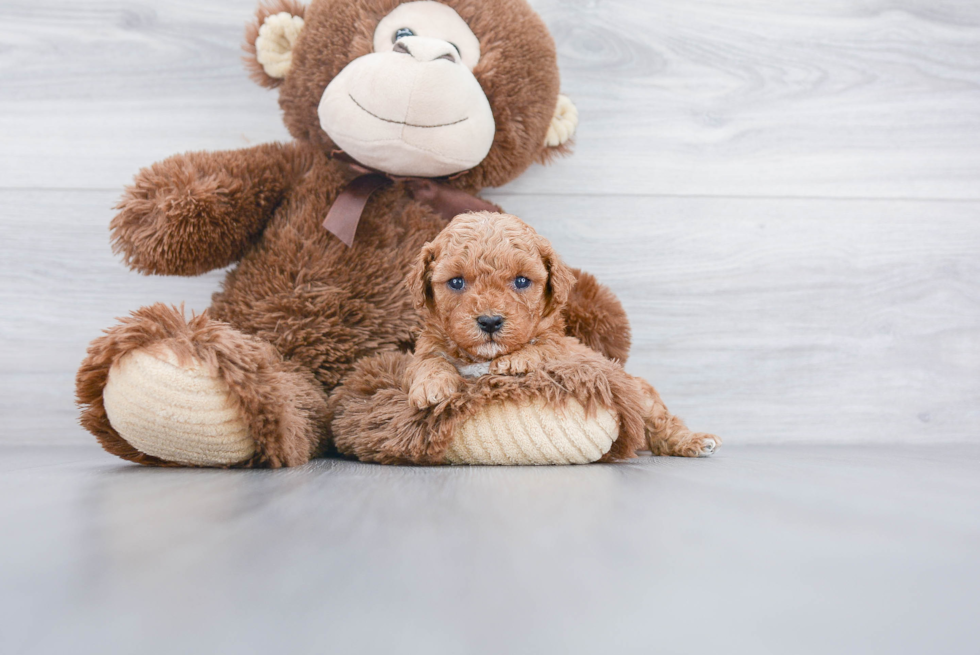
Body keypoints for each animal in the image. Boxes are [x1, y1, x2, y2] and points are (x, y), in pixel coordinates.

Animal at [404, 213, 720, 458]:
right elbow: (429, 362)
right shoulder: (426, 348)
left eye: (522, 281)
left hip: (641, 395)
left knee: (662, 423)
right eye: (456, 282)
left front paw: (517, 361)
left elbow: (544, 347)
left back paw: (695, 441)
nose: (490, 321)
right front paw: (431, 386)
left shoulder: (563, 350)